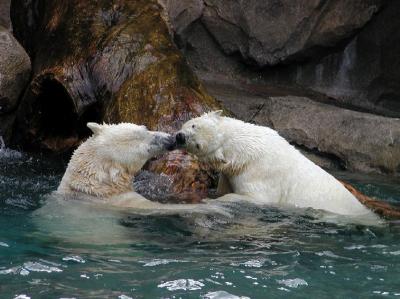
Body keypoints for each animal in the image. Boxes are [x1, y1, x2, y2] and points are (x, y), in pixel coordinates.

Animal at [175, 110, 378, 218]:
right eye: (194, 125)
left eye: (198, 145)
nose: (180, 137)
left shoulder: (259, 173)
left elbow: (253, 197)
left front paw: (211, 201)